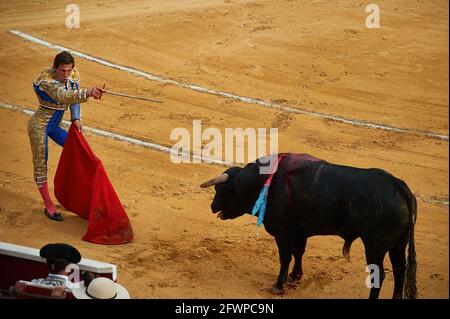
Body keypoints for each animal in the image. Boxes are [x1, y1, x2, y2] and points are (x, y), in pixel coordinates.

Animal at [201, 154, 418, 298]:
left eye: (220, 189)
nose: (211, 206)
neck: (263, 181)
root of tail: (398, 186)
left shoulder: (283, 231)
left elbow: (285, 256)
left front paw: (278, 285)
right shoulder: (299, 231)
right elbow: (298, 252)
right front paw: (294, 276)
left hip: (374, 246)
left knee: (379, 274)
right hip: (398, 245)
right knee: (400, 270)